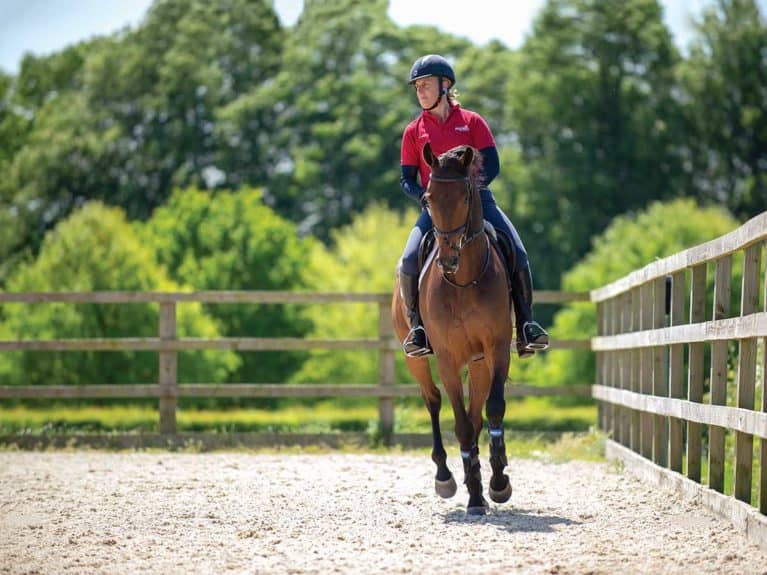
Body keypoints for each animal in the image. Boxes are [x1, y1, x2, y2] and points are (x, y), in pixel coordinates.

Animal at [392, 143, 512, 512]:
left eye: (464, 197)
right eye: (428, 198)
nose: (448, 259)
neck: (463, 281)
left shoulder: (496, 348)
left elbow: (492, 410)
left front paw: (498, 481)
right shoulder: (446, 358)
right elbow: (459, 424)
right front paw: (473, 493)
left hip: (479, 363)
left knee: (476, 415)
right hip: (415, 359)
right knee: (432, 401)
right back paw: (445, 476)